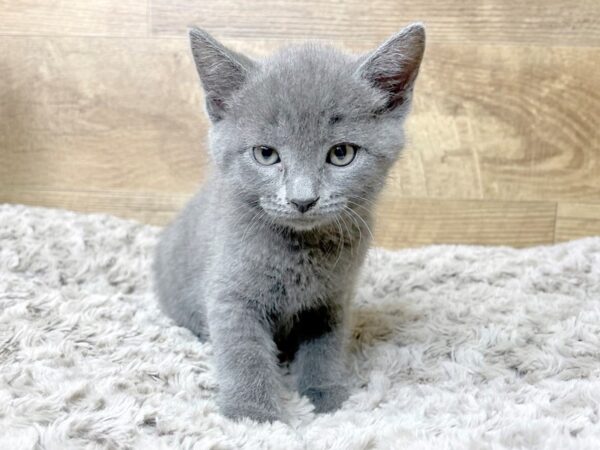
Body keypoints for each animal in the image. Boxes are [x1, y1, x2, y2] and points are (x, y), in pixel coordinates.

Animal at [155, 22, 426, 424]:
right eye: (266, 154)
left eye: (341, 153)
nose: (303, 199)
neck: (300, 251)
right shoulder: (230, 294)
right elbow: (244, 352)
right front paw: (253, 415)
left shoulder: (332, 299)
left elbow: (324, 347)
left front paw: (325, 397)